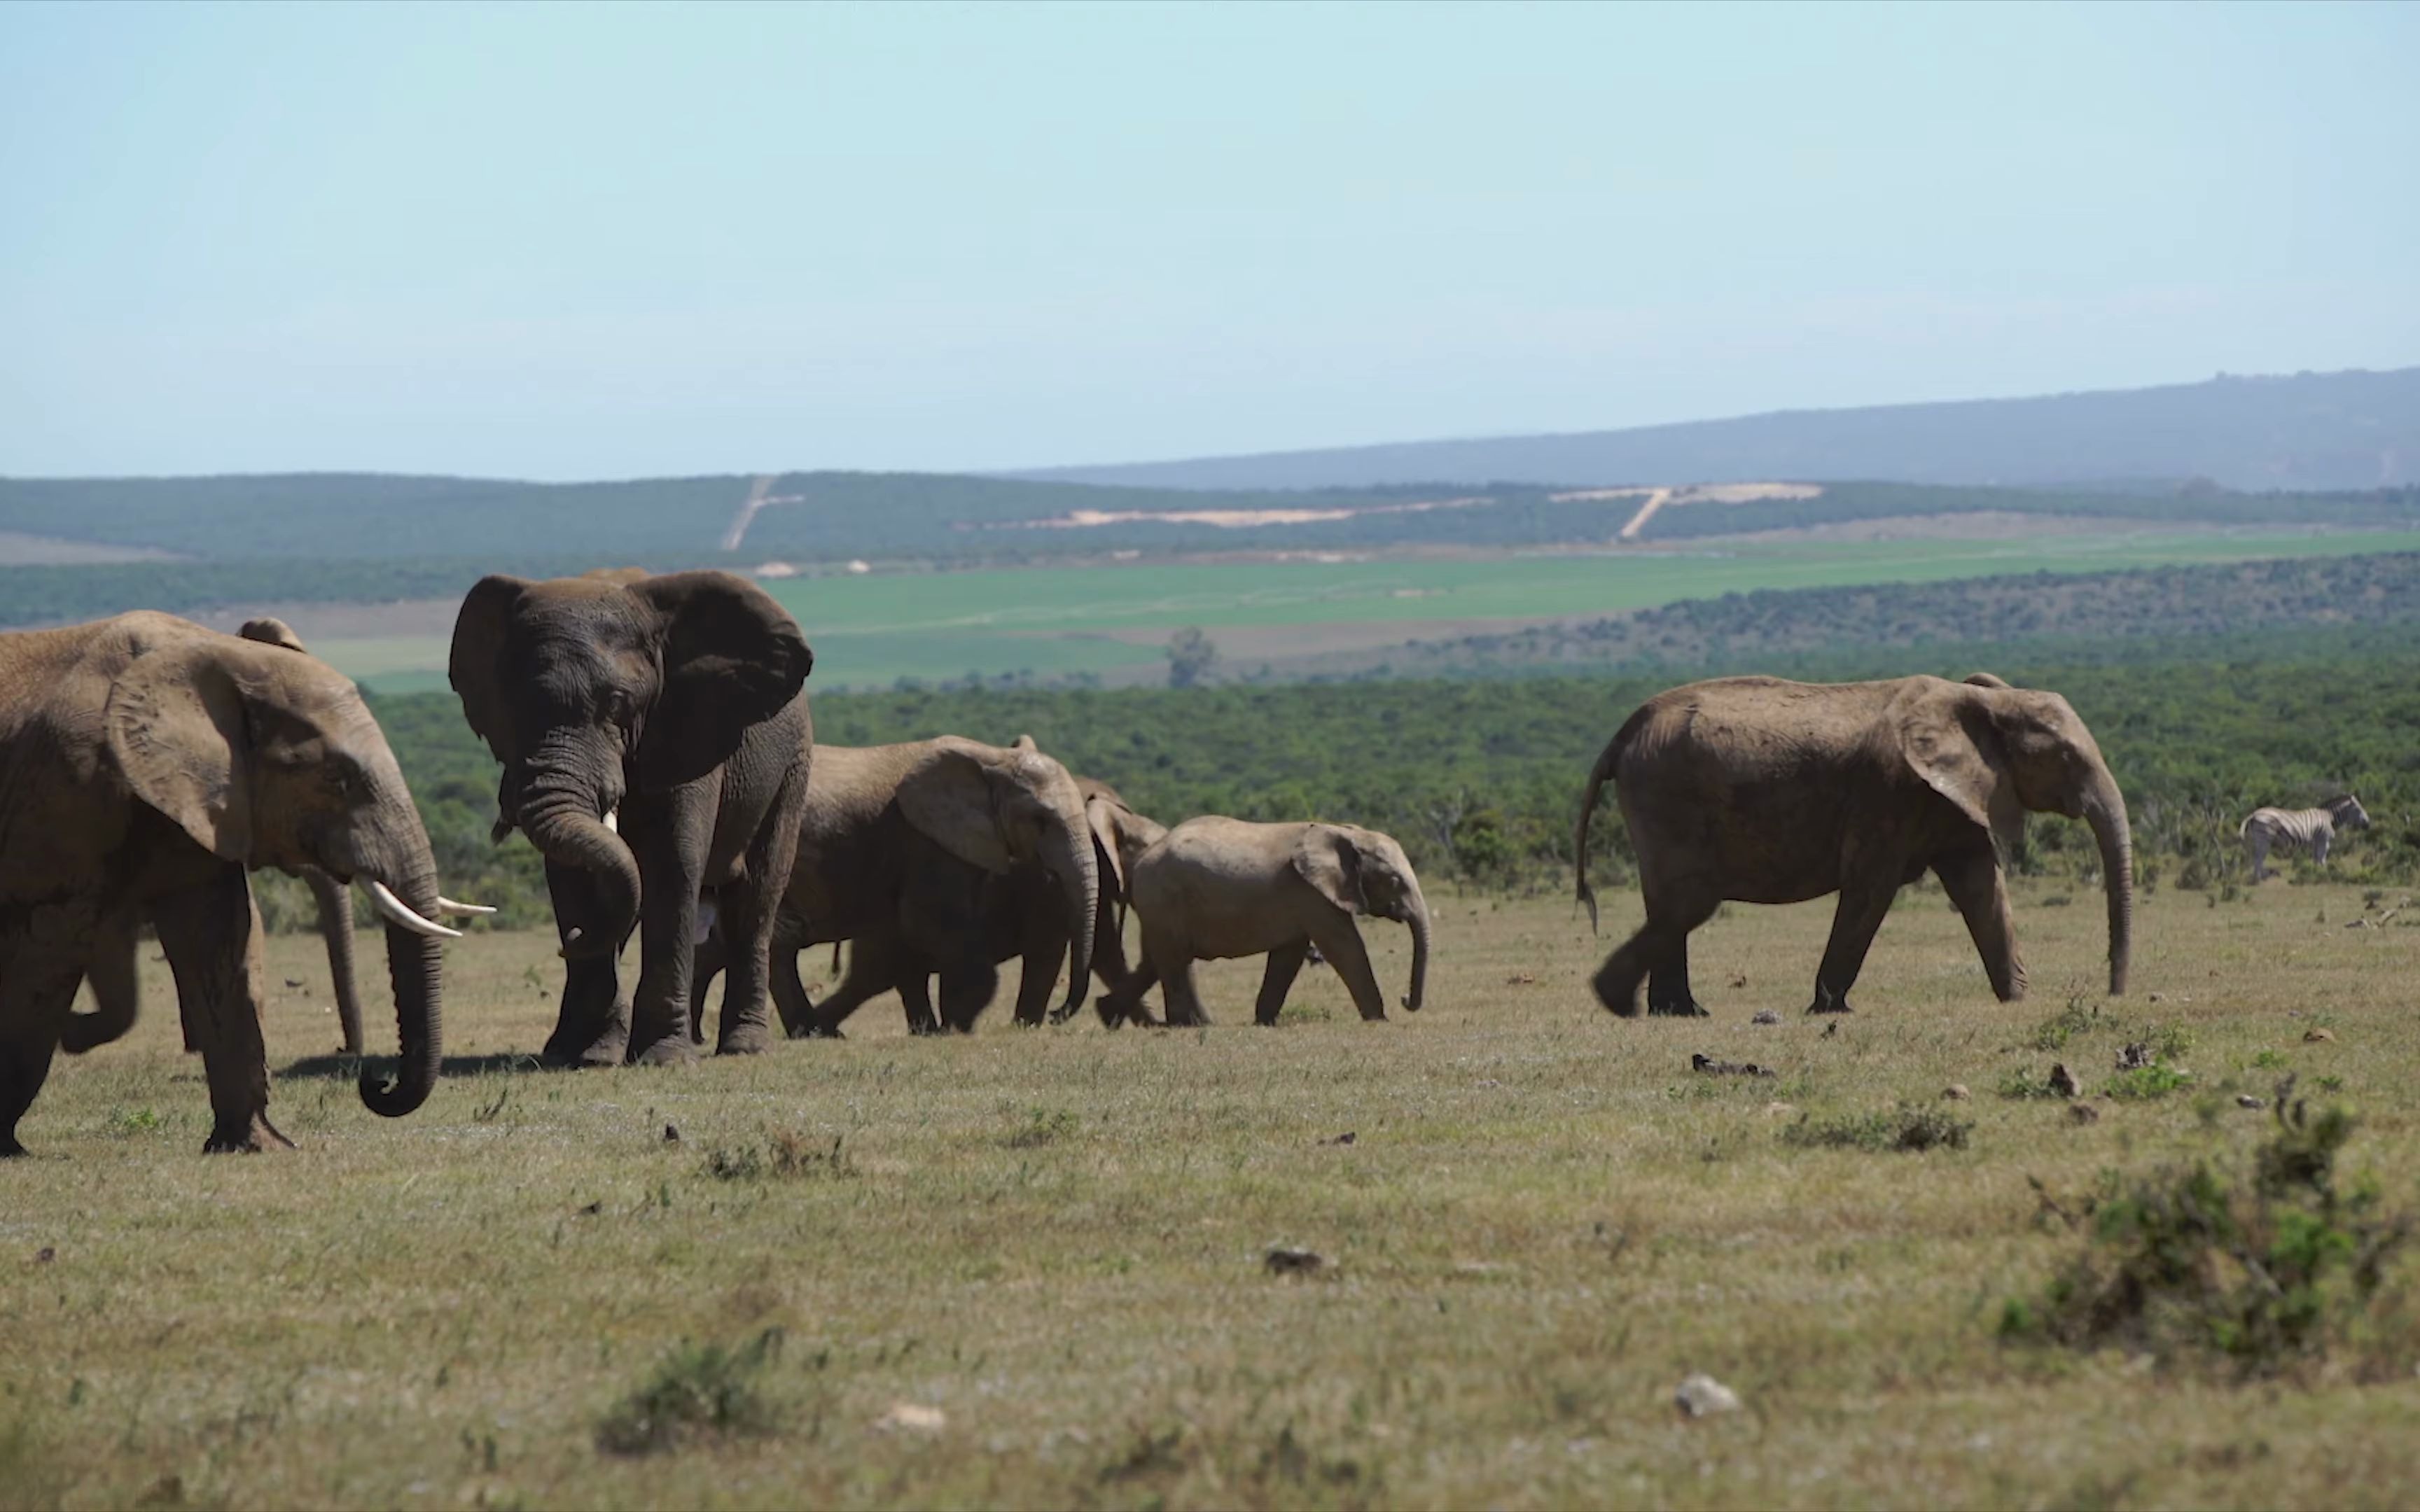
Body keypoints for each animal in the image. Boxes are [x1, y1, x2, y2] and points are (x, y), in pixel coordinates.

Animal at [0, 607, 457, 1152]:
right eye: (336, 780)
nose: (374, 1081)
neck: (221, 656)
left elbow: (219, 941)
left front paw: (254, 1145)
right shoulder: (71, 792)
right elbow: (50, 953)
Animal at [454, 564, 823, 1059]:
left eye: (616, 705)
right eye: (512, 706)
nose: (570, 942)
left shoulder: (686, 729)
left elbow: (674, 866)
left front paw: (664, 1059)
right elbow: (573, 878)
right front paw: (588, 1058)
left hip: (792, 767)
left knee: (755, 897)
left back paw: (744, 1049)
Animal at [1103, 813, 1432, 1026]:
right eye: (1394, 881)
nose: (1405, 998)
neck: (1346, 833)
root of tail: (1140, 863)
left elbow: (1289, 955)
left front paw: (1264, 1022)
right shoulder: (1312, 894)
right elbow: (1345, 947)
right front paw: (1379, 1020)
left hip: (1160, 906)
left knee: (1160, 960)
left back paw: (1111, 1016)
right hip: (1163, 897)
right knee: (1172, 960)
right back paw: (1188, 1024)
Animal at [1578, 667, 2129, 1016]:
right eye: (2066, 759)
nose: (2114, 994)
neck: (1986, 702)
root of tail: (1623, 734)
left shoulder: (1952, 797)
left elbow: (1980, 887)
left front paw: (2018, 1001)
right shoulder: (1887, 794)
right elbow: (1871, 889)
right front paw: (1830, 1010)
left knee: (1674, 904)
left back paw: (1678, 1012)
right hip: (1664, 795)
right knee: (1682, 897)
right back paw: (1667, 1010)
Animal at [2236, 798, 2371, 880]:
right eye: (2358, 809)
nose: (2368, 823)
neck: (2329, 817)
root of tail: (2253, 814)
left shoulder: (2316, 841)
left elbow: (2317, 858)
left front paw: (2316, 872)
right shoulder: (2324, 839)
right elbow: (2323, 858)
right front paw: (2323, 873)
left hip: (2257, 840)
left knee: (2256, 858)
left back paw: (2258, 877)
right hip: (2264, 839)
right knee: (2259, 859)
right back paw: (2259, 879)